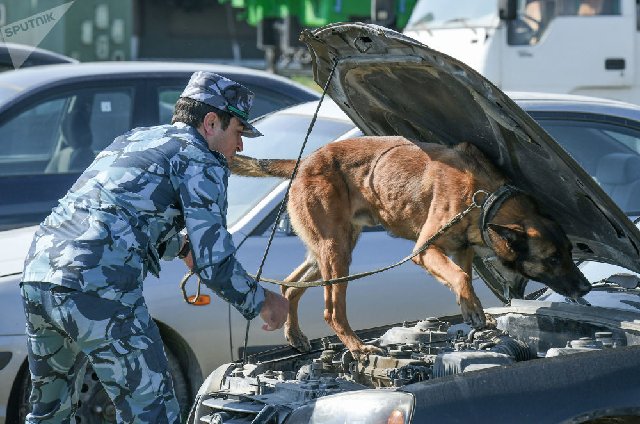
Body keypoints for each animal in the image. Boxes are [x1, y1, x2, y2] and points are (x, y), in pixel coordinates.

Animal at [232, 136, 592, 354]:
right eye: (552, 258)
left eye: (570, 252)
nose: (587, 288)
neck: (485, 198)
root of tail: (304, 161)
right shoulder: (424, 250)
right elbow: (461, 278)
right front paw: (474, 311)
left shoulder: (461, 250)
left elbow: (462, 278)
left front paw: (471, 311)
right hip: (336, 251)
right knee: (331, 310)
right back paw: (357, 347)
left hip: (330, 248)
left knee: (290, 286)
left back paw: (294, 334)